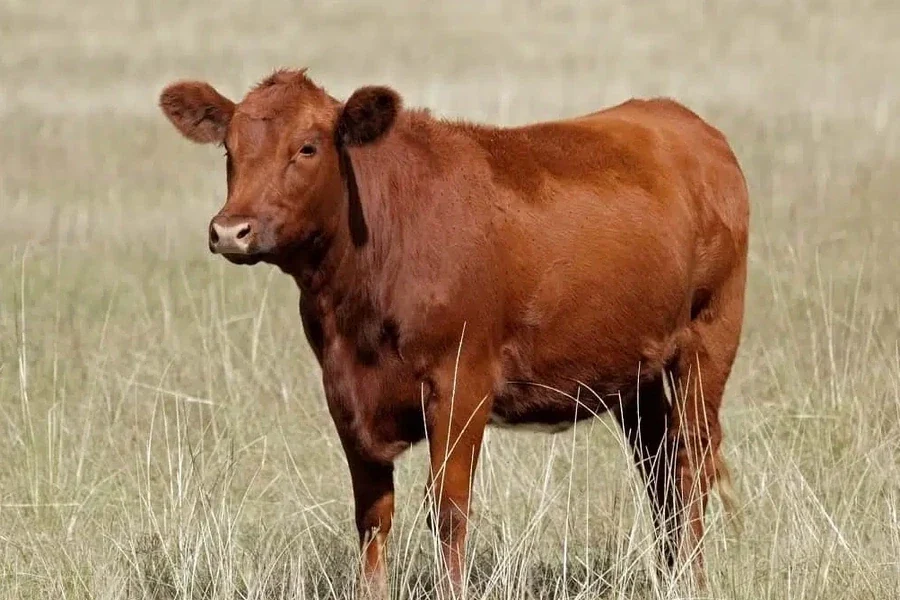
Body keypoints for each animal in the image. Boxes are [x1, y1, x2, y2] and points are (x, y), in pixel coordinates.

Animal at [158, 68, 748, 596]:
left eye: (306, 148)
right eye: (230, 147)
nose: (231, 230)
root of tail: (681, 120)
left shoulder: (463, 382)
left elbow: (448, 509)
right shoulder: (344, 393)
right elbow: (373, 516)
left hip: (708, 342)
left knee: (690, 464)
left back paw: (694, 580)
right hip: (637, 377)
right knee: (659, 473)